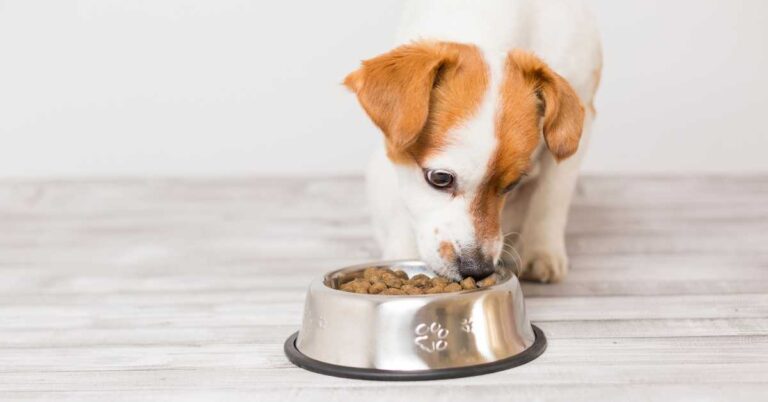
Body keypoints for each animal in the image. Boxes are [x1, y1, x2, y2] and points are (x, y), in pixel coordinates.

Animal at [344, 0, 604, 282]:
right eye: (440, 178)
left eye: (513, 184)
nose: (477, 270)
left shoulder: (580, 118)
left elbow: (552, 194)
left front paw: (542, 251)